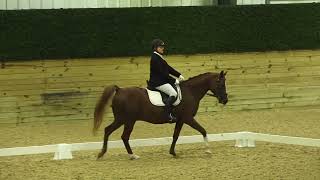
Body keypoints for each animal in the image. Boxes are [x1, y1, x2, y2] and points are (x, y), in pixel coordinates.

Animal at [92, 71, 228, 160]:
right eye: (221, 84)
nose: (225, 100)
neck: (190, 92)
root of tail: (119, 90)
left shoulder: (180, 120)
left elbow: (175, 136)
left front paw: (173, 153)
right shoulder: (188, 118)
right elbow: (203, 130)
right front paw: (208, 150)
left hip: (122, 120)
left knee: (108, 130)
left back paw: (102, 153)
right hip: (127, 120)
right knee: (123, 136)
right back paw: (132, 155)